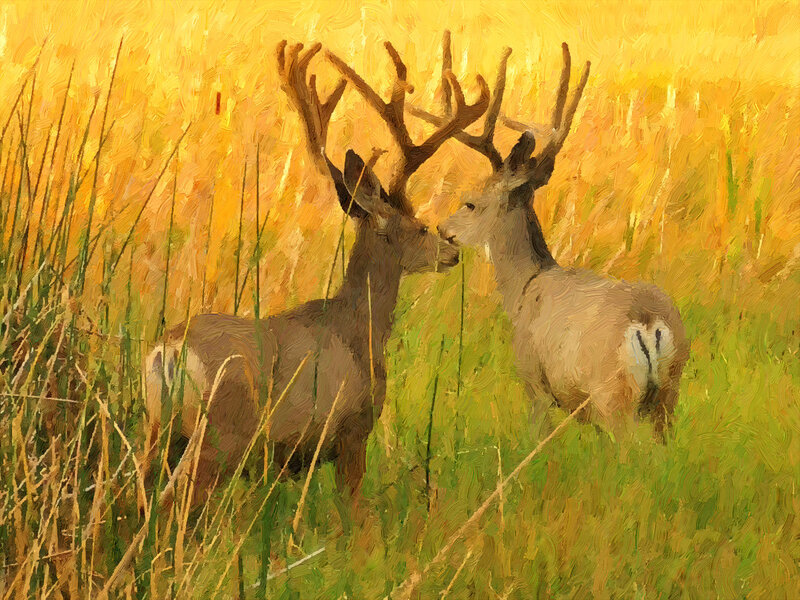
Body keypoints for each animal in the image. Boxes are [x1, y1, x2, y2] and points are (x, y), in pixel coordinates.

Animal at [138, 39, 490, 510]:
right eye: (418, 227)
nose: (450, 252)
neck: (360, 328)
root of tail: (170, 351)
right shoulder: (351, 430)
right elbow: (354, 514)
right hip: (219, 434)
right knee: (171, 499)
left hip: (158, 429)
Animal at [417, 33, 689, 440]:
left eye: (470, 203)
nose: (444, 230)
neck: (524, 287)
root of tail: (647, 321)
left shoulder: (535, 381)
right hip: (668, 396)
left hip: (614, 394)